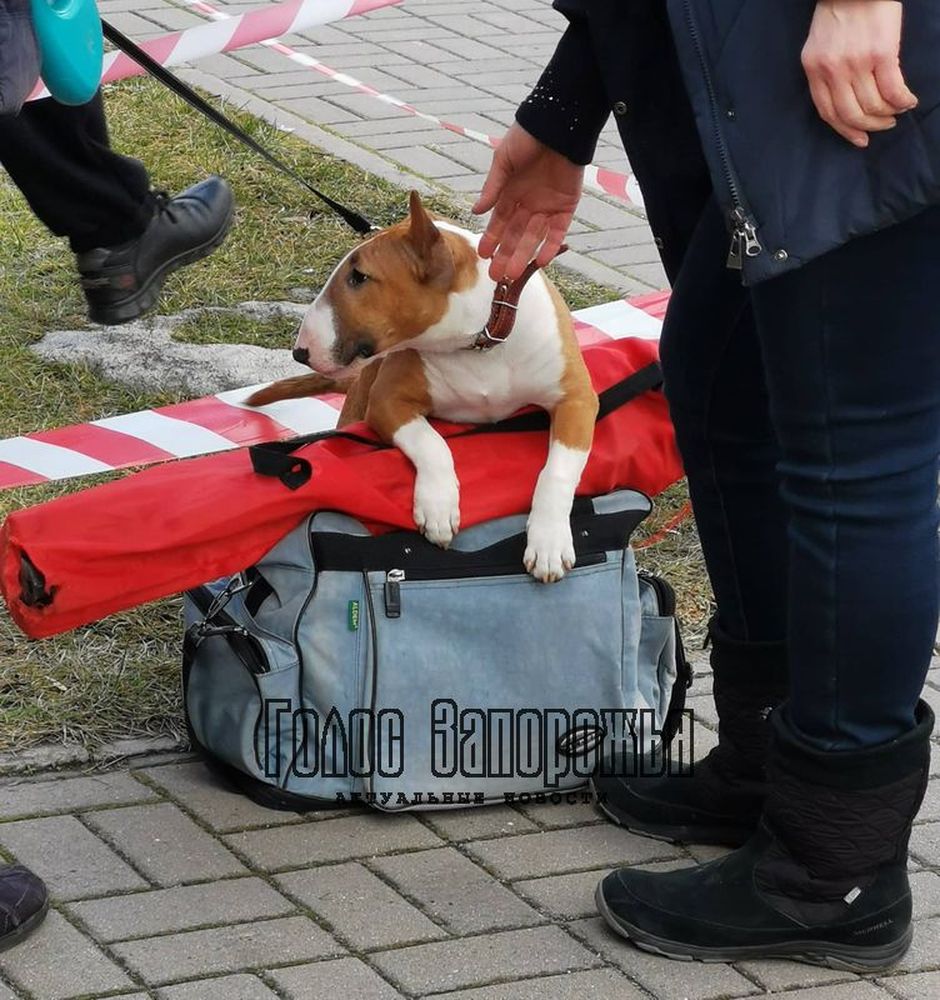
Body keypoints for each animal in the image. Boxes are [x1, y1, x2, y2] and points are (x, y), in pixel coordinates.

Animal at [250, 191, 600, 584]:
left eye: (359, 276)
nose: (299, 351)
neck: (480, 342)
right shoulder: (386, 400)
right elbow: (432, 443)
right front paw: (438, 507)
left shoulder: (577, 399)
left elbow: (557, 470)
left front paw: (549, 543)